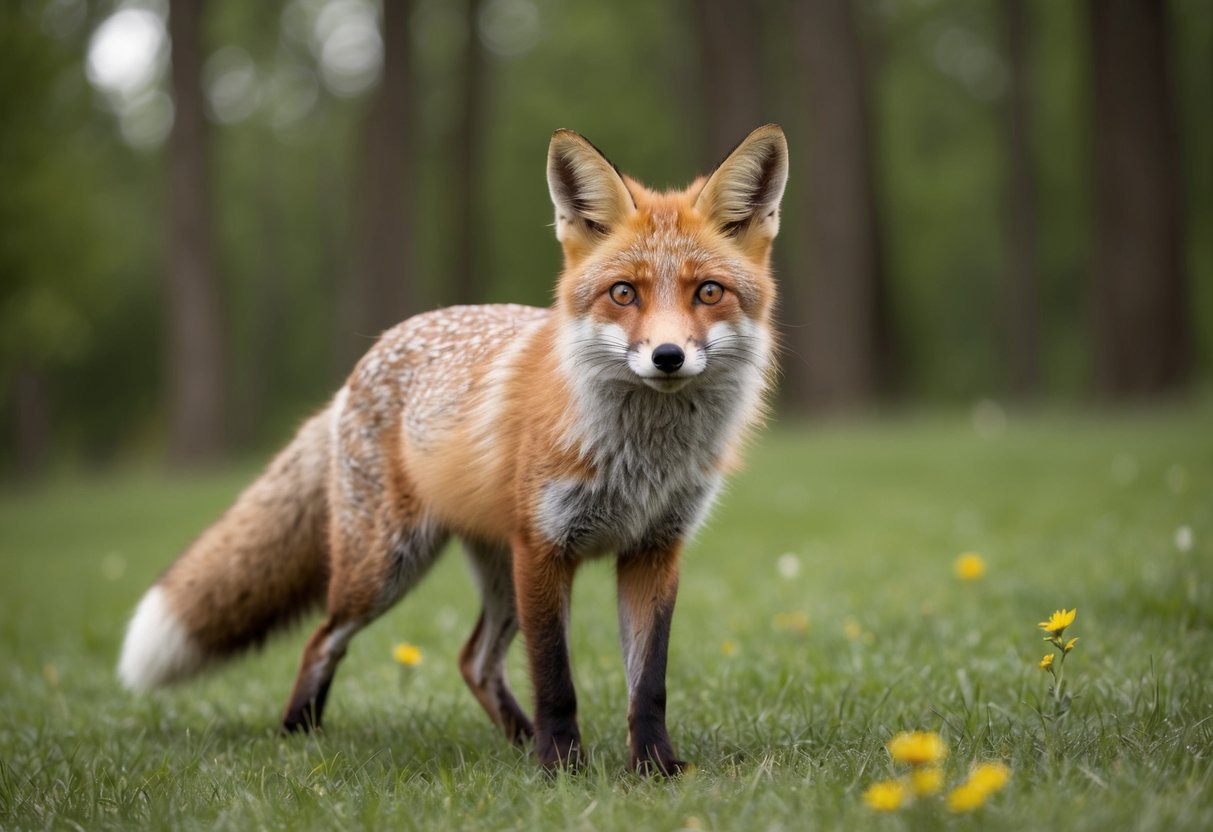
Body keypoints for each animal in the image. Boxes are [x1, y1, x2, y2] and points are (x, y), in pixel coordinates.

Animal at [118, 124, 789, 774]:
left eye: (708, 292)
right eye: (624, 294)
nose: (668, 356)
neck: (642, 459)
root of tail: (362, 363)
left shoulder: (653, 551)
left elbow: (648, 685)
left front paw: (653, 769)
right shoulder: (545, 547)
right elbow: (556, 680)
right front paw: (562, 771)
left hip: (498, 574)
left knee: (474, 659)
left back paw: (517, 741)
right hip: (389, 566)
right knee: (324, 637)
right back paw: (300, 735)